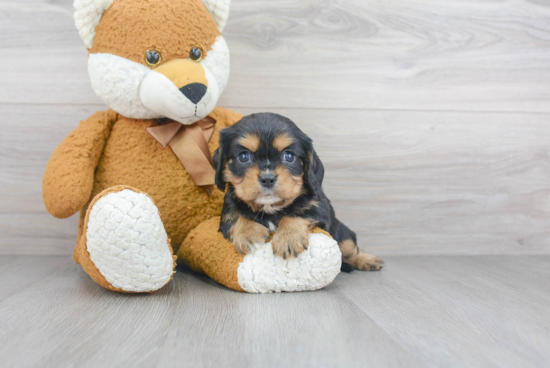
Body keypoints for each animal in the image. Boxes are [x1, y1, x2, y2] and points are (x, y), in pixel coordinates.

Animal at [213, 113, 386, 272]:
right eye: (243, 156)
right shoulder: (227, 210)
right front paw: (248, 234)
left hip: (343, 234)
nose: (267, 179)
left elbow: (297, 213)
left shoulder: (319, 208)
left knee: (351, 249)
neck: (271, 207)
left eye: (289, 156)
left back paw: (368, 260)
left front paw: (288, 239)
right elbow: (237, 215)